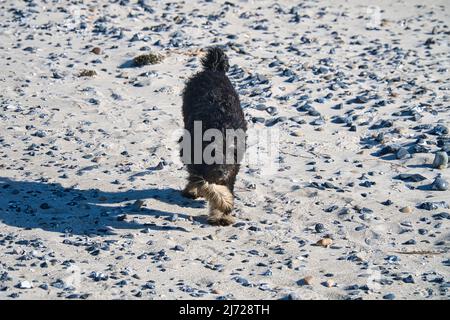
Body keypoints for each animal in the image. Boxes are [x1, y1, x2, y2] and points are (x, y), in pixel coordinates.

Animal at [181, 47, 248, 226]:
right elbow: (208, 186)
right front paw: (224, 203)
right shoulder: (196, 161)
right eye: (213, 156)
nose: (221, 173)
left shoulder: (232, 169)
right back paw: (190, 190)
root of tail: (213, 69)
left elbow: (225, 186)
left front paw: (222, 214)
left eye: (229, 157)